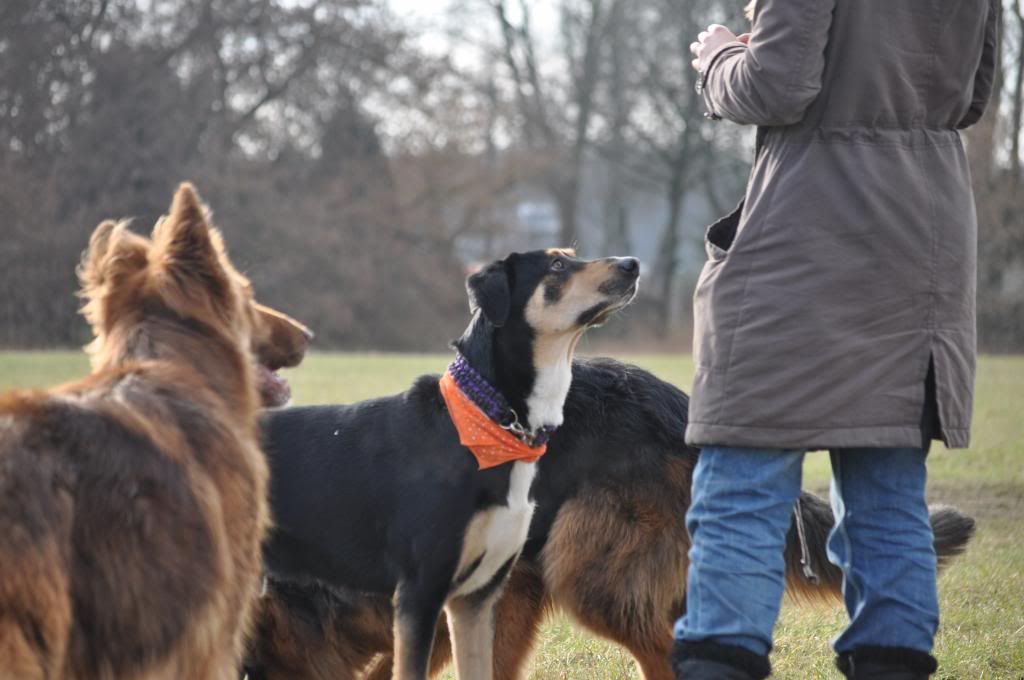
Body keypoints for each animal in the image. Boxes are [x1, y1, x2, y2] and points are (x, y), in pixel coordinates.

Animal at [246, 249, 639, 680]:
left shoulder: (476, 600)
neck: (488, 423)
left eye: (571, 256)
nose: (632, 264)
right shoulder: (420, 593)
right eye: (556, 266)